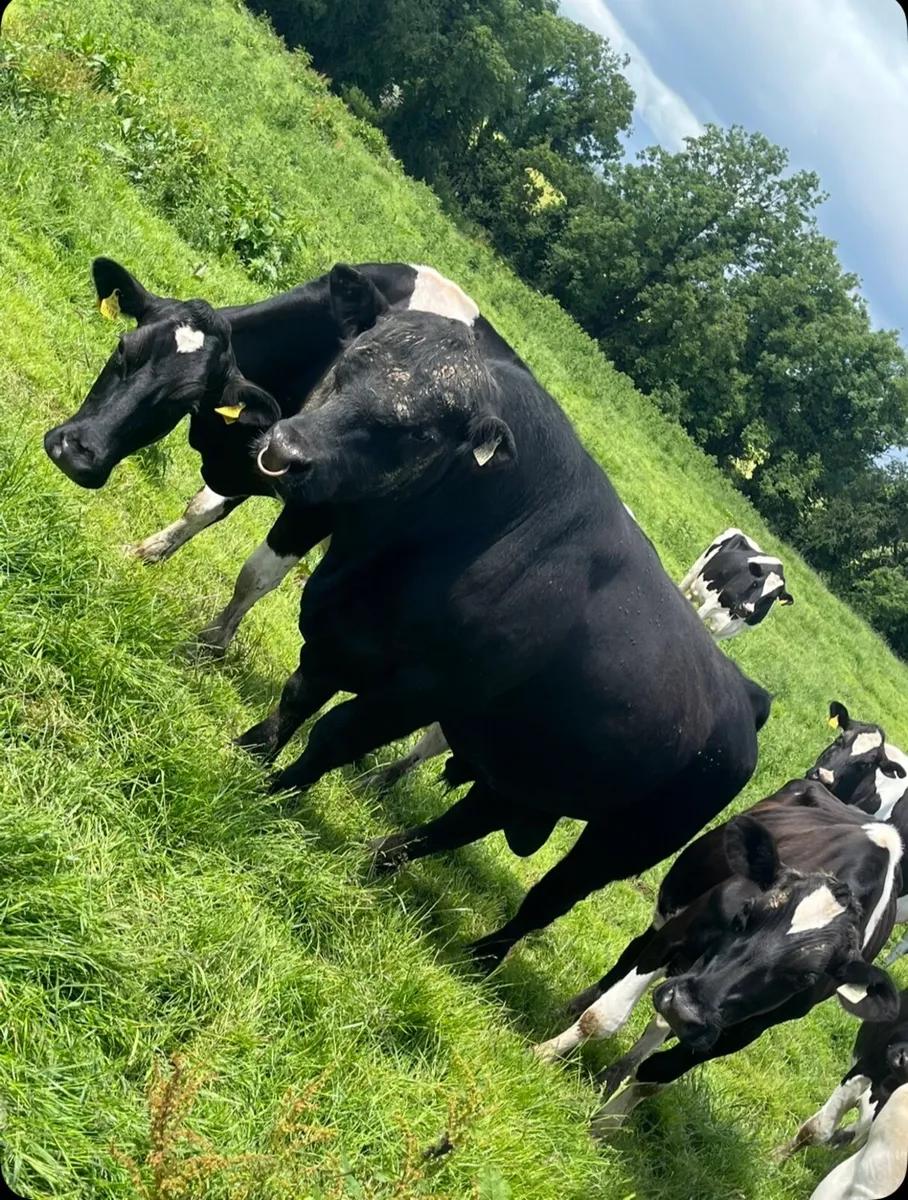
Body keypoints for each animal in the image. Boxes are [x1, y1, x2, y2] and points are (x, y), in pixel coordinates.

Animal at [234, 273, 771, 969]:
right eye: (351, 362)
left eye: (419, 433)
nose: (285, 450)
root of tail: (742, 696)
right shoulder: (341, 630)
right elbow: (298, 695)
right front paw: (252, 751)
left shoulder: (422, 689)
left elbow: (334, 734)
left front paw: (277, 792)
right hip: (524, 776)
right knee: (465, 822)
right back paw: (383, 858)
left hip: (623, 841)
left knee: (550, 897)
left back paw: (484, 957)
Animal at [533, 780, 902, 1137]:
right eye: (746, 913)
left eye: (805, 978)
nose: (685, 1008)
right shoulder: (675, 936)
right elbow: (604, 1017)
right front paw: (543, 1055)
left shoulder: (744, 1028)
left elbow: (657, 1074)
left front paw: (606, 1124)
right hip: (668, 918)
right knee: (632, 956)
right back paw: (572, 1009)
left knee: (660, 1027)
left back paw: (614, 1074)